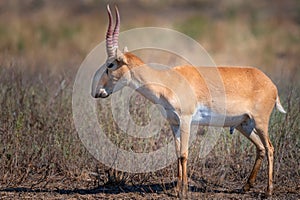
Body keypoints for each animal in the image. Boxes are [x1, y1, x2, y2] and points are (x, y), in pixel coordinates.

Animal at [91, 4, 286, 197]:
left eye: (110, 65)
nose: (97, 92)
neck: (167, 81)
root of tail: (271, 84)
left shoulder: (186, 119)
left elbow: (184, 154)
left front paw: (183, 191)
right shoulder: (174, 123)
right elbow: (177, 154)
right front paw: (178, 189)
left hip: (260, 122)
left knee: (270, 148)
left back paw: (268, 191)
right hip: (243, 124)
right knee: (261, 148)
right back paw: (246, 187)